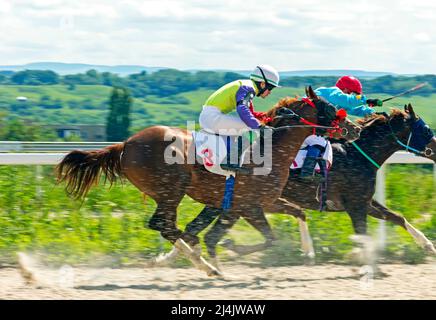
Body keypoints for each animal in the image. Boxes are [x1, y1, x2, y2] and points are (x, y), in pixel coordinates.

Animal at [55, 86, 362, 276]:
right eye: (329, 107)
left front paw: (308, 252)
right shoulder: (246, 207)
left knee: (171, 228)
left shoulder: (263, 202)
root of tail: (125, 144)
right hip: (172, 190)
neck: (272, 148)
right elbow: (257, 238)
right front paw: (225, 254)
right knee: (164, 225)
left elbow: (298, 213)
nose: (355, 128)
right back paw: (204, 265)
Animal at [152, 104, 436, 268]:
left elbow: (397, 217)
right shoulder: (355, 205)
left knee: (194, 229)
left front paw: (427, 245)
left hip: (223, 200)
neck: (358, 154)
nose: (435, 148)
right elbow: (364, 235)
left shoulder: (364, 202)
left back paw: (175, 258)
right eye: (425, 129)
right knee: (197, 230)